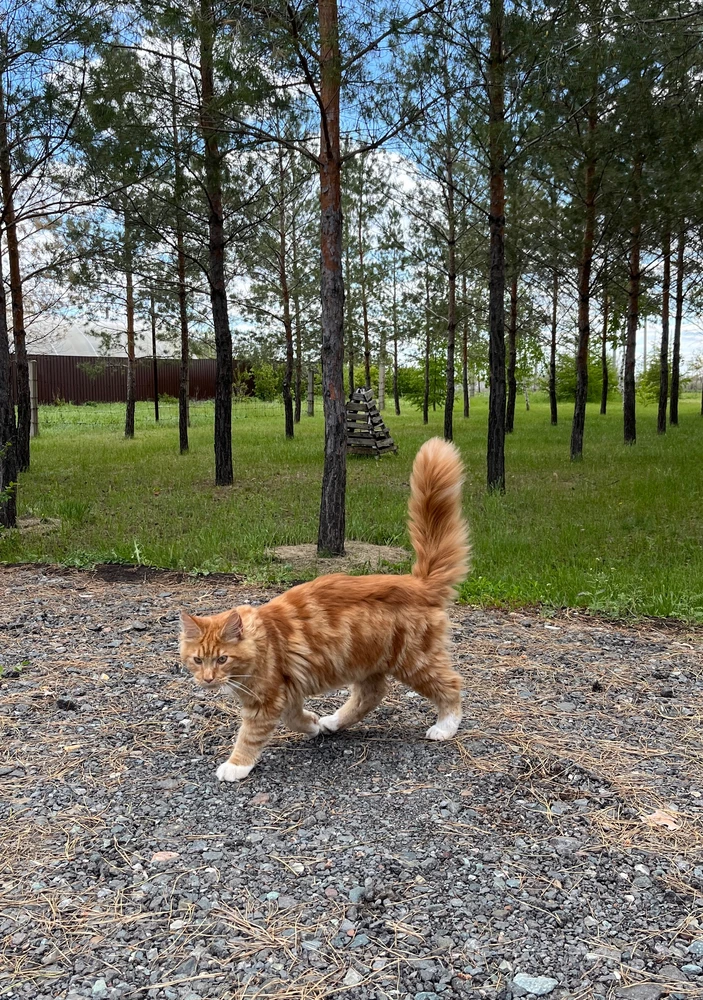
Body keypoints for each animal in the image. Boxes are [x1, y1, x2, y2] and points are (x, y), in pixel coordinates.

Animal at [179, 438, 470, 780]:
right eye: (198, 660)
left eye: (222, 659)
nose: (208, 679)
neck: (263, 641)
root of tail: (418, 583)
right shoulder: (288, 693)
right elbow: (295, 718)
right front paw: (314, 724)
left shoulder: (267, 700)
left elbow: (250, 735)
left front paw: (236, 765)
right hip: (366, 662)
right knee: (370, 696)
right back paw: (333, 721)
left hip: (414, 661)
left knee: (451, 686)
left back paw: (445, 727)